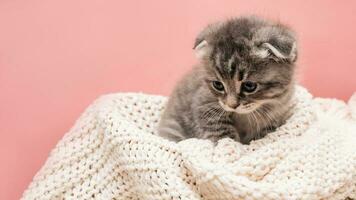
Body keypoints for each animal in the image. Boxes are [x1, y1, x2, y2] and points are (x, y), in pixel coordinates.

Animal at [159, 16, 298, 144]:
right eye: (218, 85)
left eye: (249, 86)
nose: (232, 106)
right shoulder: (204, 106)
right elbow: (222, 134)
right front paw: (231, 145)